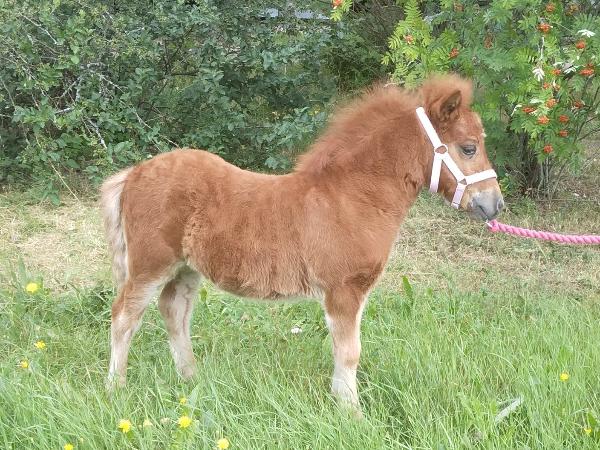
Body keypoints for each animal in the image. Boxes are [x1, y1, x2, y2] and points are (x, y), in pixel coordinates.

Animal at [100, 74, 503, 408]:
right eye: (469, 147)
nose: (495, 204)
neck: (351, 197)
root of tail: (133, 174)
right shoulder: (343, 290)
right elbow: (349, 352)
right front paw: (352, 413)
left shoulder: (352, 293)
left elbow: (345, 350)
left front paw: (342, 403)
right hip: (150, 266)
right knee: (124, 317)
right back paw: (115, 390)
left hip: (185, 268)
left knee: (174, 312)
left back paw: (191, 379)